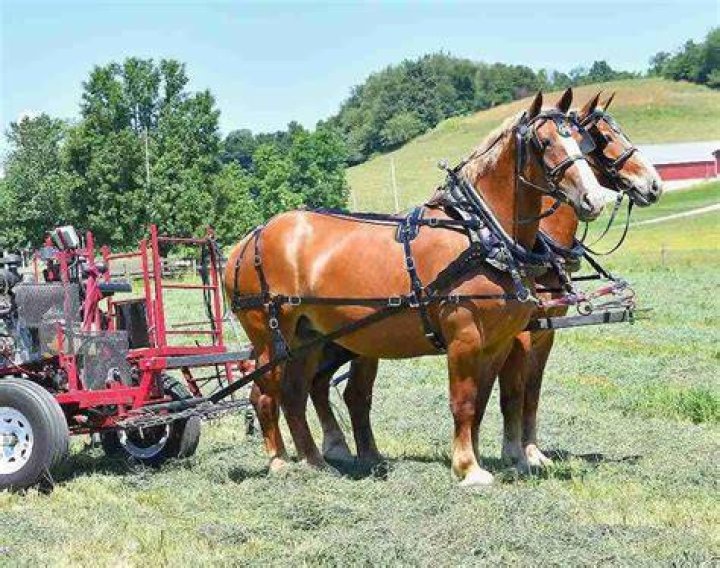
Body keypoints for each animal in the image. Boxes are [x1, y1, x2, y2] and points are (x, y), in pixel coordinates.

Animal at [224, 89, 611, 486]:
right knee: (263, 393)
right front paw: (469, 468)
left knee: (294, 393)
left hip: (308, 338)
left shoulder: (499, 342)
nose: (594, 199)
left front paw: (489, 458)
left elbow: (487, 400)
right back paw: (279, 461)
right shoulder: (464, 336)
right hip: (271, 337)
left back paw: (316, 460)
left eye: (582, 140)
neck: (482, 234)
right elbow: (464, 401)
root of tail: (245, 242)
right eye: (544, 142)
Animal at [308, 91, 663, 475]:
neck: (494, 236)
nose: (654, 185)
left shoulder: (539, 333)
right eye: (601, 138)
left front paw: (521, 452)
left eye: (584, 141)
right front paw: (516, 454)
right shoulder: (518, 335)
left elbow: (525, 393)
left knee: (327, 386)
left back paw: (342, 449)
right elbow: (512, 394)